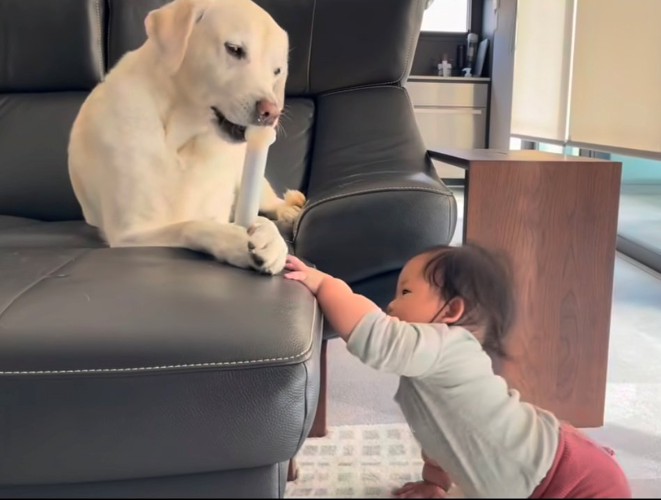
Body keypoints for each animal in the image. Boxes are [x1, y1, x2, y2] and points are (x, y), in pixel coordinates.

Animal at [67, 0, 304, 274]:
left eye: (277, 71)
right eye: (234, 49)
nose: (272, 113)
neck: (184, 141)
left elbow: (259, 221)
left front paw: (271, 239)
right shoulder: (131, 233)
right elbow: (191, 225)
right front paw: (233, 238)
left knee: (272, 202)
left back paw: (289, 210)